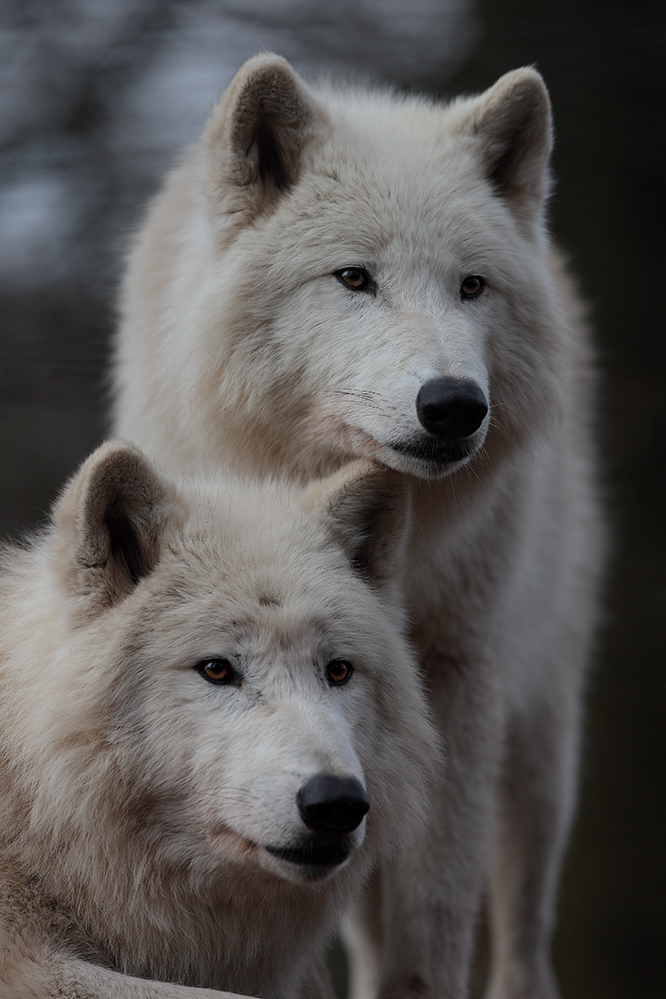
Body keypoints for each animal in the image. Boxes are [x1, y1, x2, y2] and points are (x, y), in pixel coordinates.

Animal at [113, 56, 600, 999]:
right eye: (353, 278)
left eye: (471, 285)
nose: (454, 405)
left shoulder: (456, 672)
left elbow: (436, 905)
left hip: (538, 744)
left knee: (522, 930)